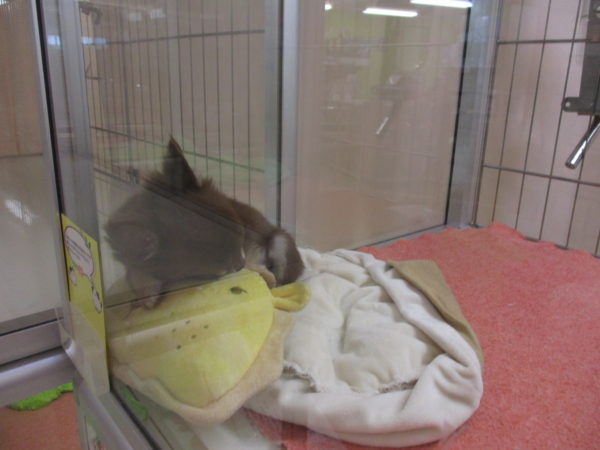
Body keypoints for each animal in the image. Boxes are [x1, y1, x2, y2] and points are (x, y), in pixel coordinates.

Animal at [105, 138, 304, 308]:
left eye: (241, 243)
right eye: (225, 270)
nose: (241, 264)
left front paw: (264, 275)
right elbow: (134, 271)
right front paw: (147, 291)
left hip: (279, 241)